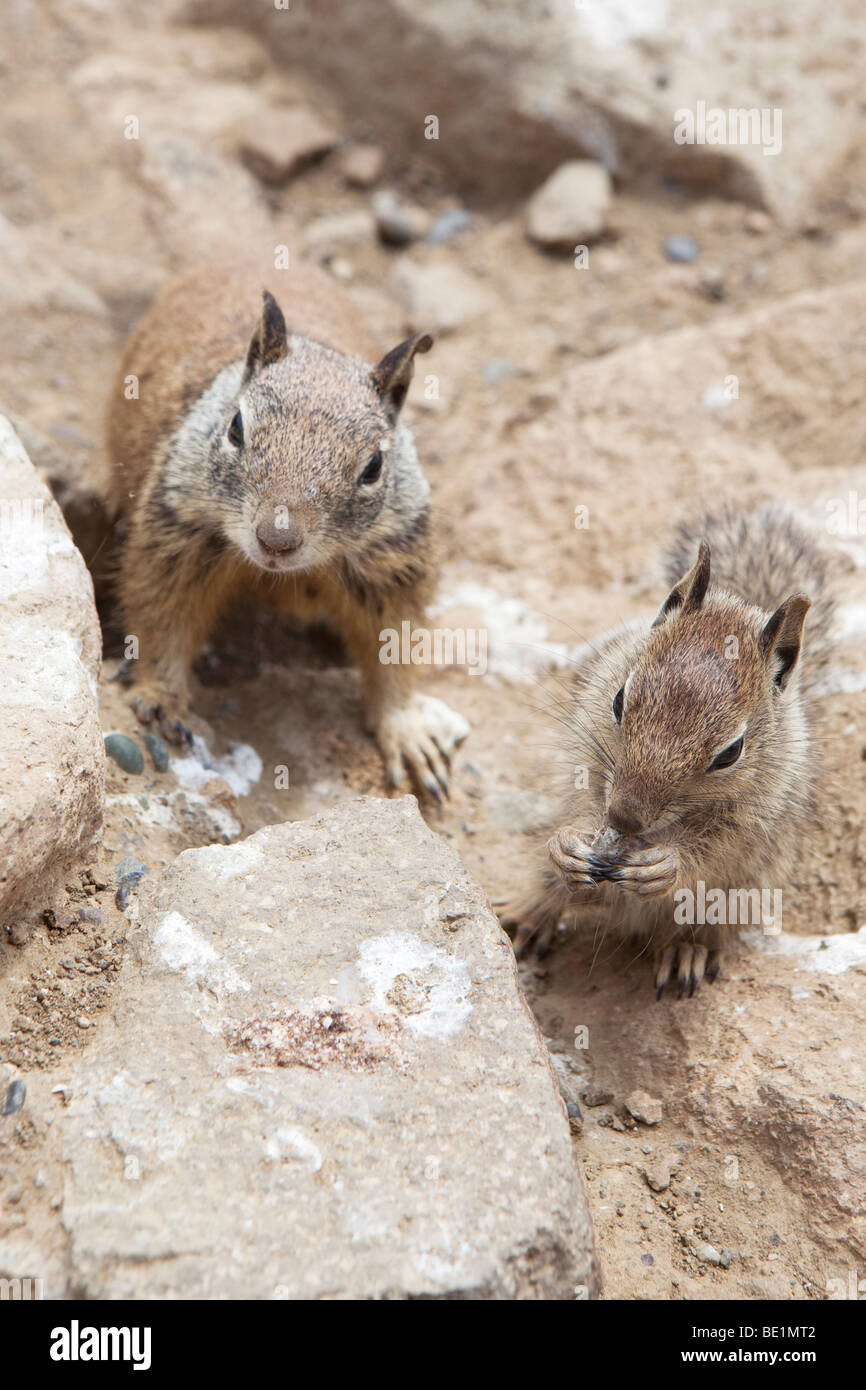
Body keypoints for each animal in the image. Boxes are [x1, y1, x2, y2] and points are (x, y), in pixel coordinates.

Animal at [105, 261, 469, 800]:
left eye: (374, 467)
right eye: (235, 428)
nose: (276, 540)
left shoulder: (393, 560)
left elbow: (395, 651)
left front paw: (407, 732)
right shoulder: (176, 530)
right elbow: (160, 618)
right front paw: (160, 698)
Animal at [505, 511, 839, 1000]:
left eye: (731, 753)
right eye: (618, 699)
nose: (624, 818)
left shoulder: (752, 820)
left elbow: (713, 849)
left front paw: (666, 865)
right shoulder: (585, 759)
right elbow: (579, 803)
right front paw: (567, 843)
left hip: (737, 897)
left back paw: (686, 951)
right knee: (554, 889)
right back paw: (529, 913)